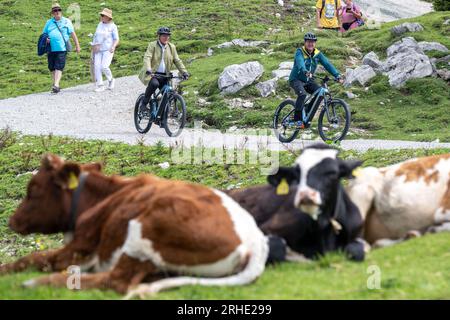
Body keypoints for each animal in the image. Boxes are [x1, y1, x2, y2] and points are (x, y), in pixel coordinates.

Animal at [0, 154, 268, 298]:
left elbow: (32, 258)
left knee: (116, 281)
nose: (12, 221)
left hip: (143, 232)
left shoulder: (79, 248)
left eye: (33, 190)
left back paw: (38, 283)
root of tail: (254, 240)